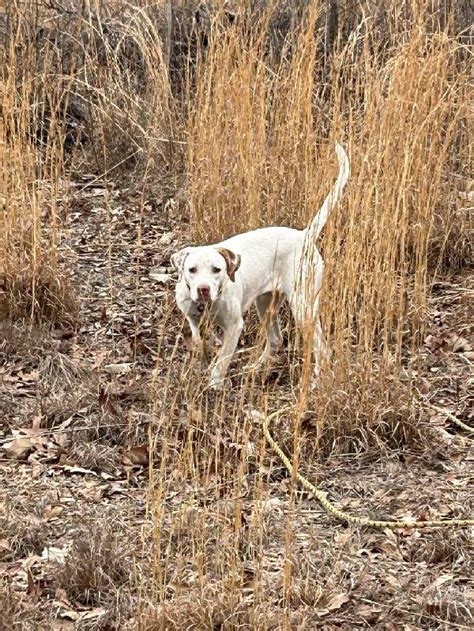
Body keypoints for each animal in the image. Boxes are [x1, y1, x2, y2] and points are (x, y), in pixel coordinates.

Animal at [172, 145, 350, 388]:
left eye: (217, 270)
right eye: (192, 270)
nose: (203, 289)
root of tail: (304, 236)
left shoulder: (234, 326)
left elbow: (223, 359)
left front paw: (215, 384)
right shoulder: (192, 319)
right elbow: (200, 342)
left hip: (303, 307)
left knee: (321, 349)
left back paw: (315, 383)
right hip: (266, 304)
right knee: (275, 339)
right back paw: (256, 368)